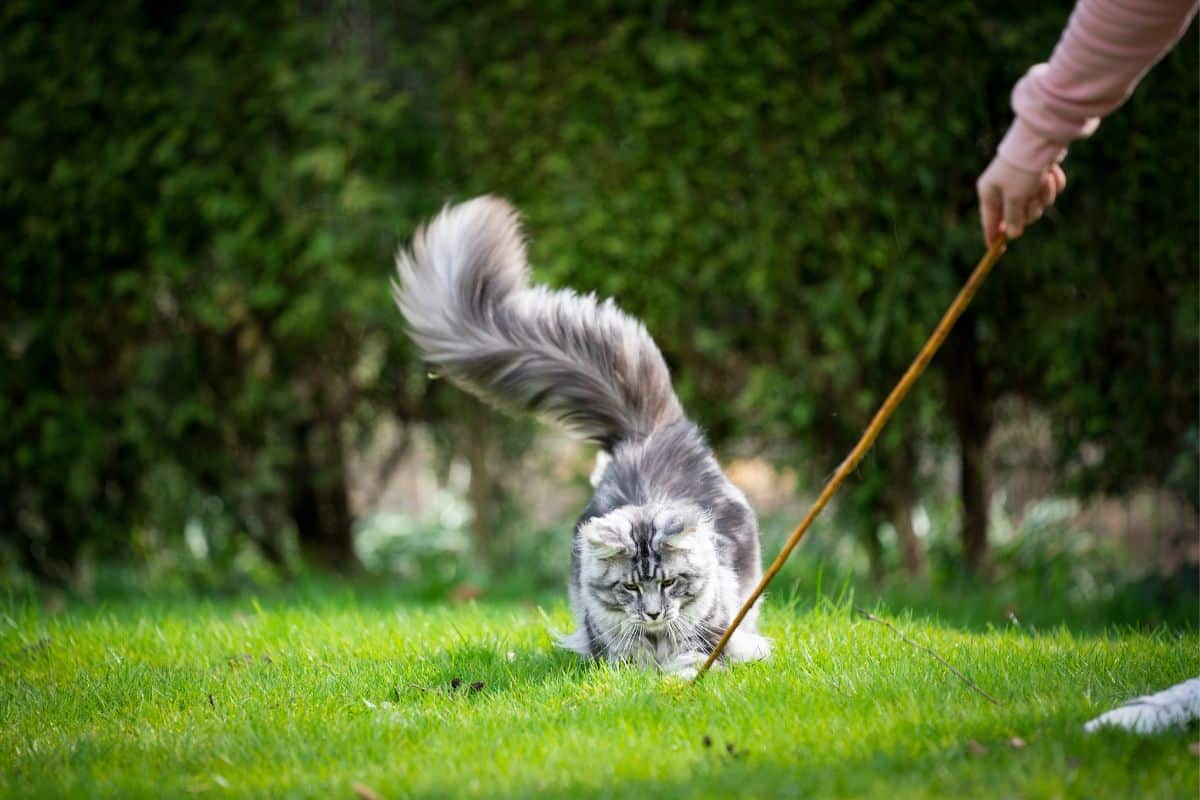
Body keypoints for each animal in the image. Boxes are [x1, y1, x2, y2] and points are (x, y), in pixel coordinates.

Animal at [393, 196, 768, 681]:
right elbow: (629, 661)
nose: (653, 613)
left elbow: (695, 657)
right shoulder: (610, 651)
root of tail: (649, 433)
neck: (656, 639)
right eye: (631, 586)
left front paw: (680, 675)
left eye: (669, 582)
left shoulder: (714, 635)